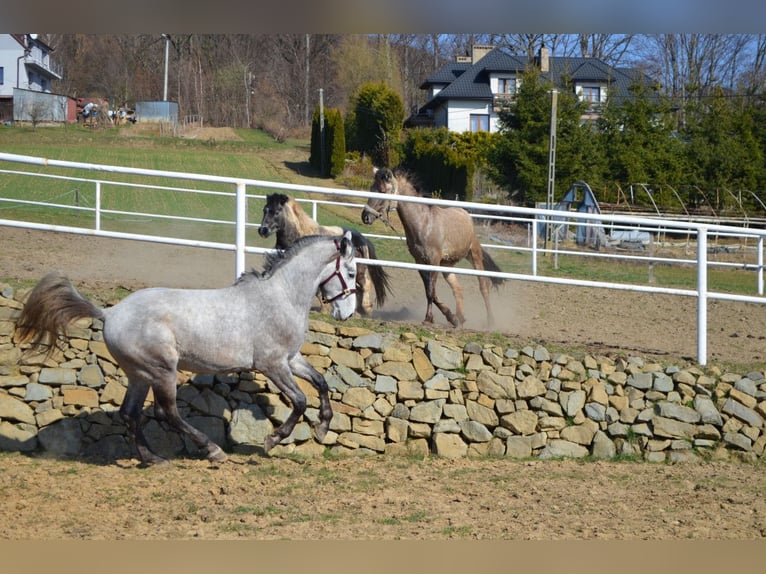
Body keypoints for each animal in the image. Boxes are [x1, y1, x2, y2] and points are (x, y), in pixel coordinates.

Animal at [15, 232, 357, 466]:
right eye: (352, 273)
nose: (347, 313)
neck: (280, 296)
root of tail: (110, 313)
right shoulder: (272, 364)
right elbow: (299, 401)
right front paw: (272, 440)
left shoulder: (292, 359)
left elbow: (321, 383)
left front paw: (322, 429)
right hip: (162, 370)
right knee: (168, 413)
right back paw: (212, 451)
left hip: (139, 375)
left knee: (130, 414)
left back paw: (153, 458)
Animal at [258, 192, 392, 316]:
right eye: (265, 209)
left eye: (276, 212)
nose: (262, 230)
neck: (299, 235)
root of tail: (362, 239)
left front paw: (324, 309)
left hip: (359, 270)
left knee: (365, 285)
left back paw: (365, 309)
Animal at [362, 168, 503, 328]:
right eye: (371, 188)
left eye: (383, 191)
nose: (365, 217)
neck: (424, 224)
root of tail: (465, 214)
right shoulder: (420, 262)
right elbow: (431, 292)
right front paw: (450, 318)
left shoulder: (434, 262)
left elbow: (431, 292)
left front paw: (429, 319)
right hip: (447, 265)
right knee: (457, 289)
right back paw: (460, 318)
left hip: (474, 255)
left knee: (483, 287)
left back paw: (490, 322)